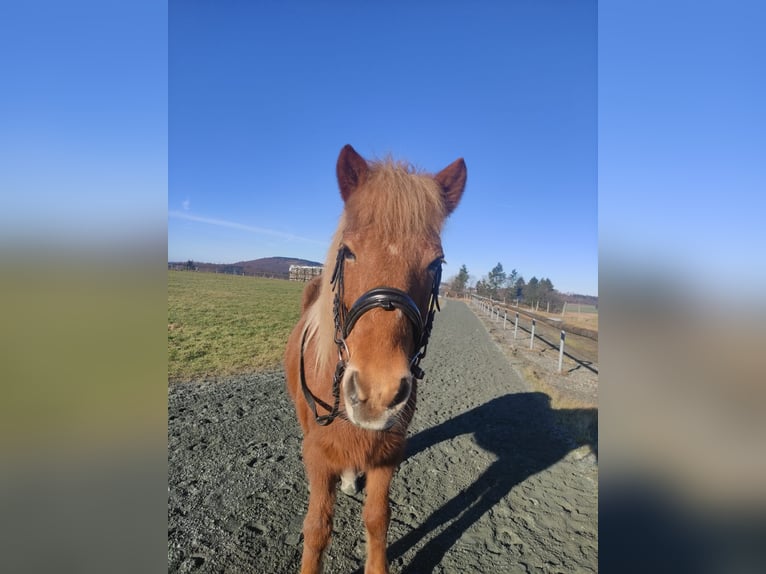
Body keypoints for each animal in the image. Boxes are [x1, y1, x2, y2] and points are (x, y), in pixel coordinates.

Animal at [284, 144, 466, 574]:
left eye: (436, 263)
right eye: (348, 252)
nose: (377, 392)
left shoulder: (388, 454)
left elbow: (378, 519)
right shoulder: (317, 456)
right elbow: (317, 528)